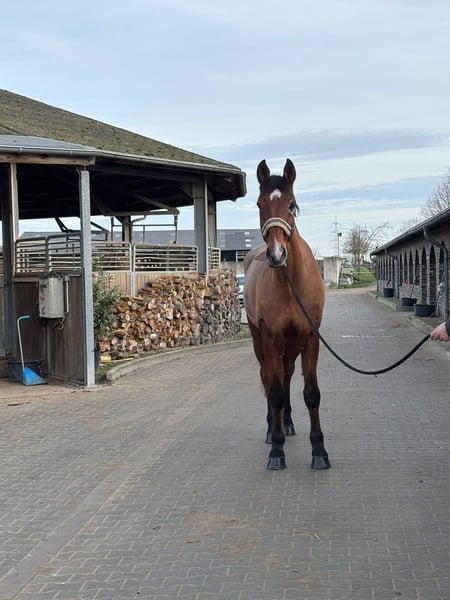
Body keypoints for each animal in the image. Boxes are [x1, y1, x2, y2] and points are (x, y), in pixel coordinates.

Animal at [244, 159, 330, 471]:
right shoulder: (271, 339)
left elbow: (311, 394)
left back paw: (289, 423)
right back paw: (274, 429)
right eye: (259, 204)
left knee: (286, 374)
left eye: (291, 205)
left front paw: (319, 451)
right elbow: (275, 392)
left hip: (292, 345)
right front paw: (277, 451)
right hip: (260, 339)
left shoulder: (310, 339)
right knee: (269, 378)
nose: (277, 254)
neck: (291, 280)